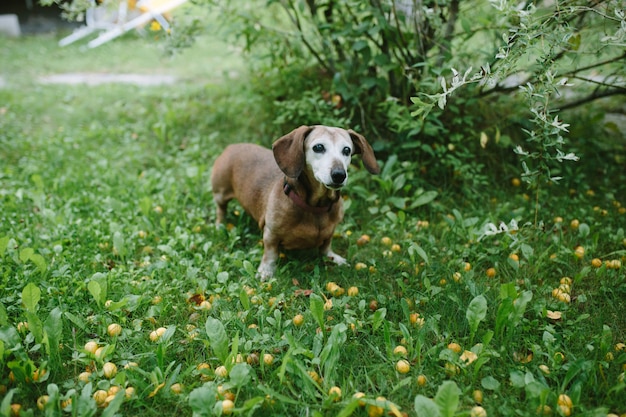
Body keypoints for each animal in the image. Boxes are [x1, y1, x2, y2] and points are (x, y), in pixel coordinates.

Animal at [210, 125, 378, 278]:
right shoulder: (270, 233)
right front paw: (266, 271)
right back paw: (219, 225)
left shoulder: (330, 231)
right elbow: (270, 254)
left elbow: (326, 246)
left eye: (347, 150)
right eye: (318, 147)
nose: (339, 175)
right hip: (220, 193)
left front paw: (333, 258)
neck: (315, 207)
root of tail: (232, 146)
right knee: (220, 209)